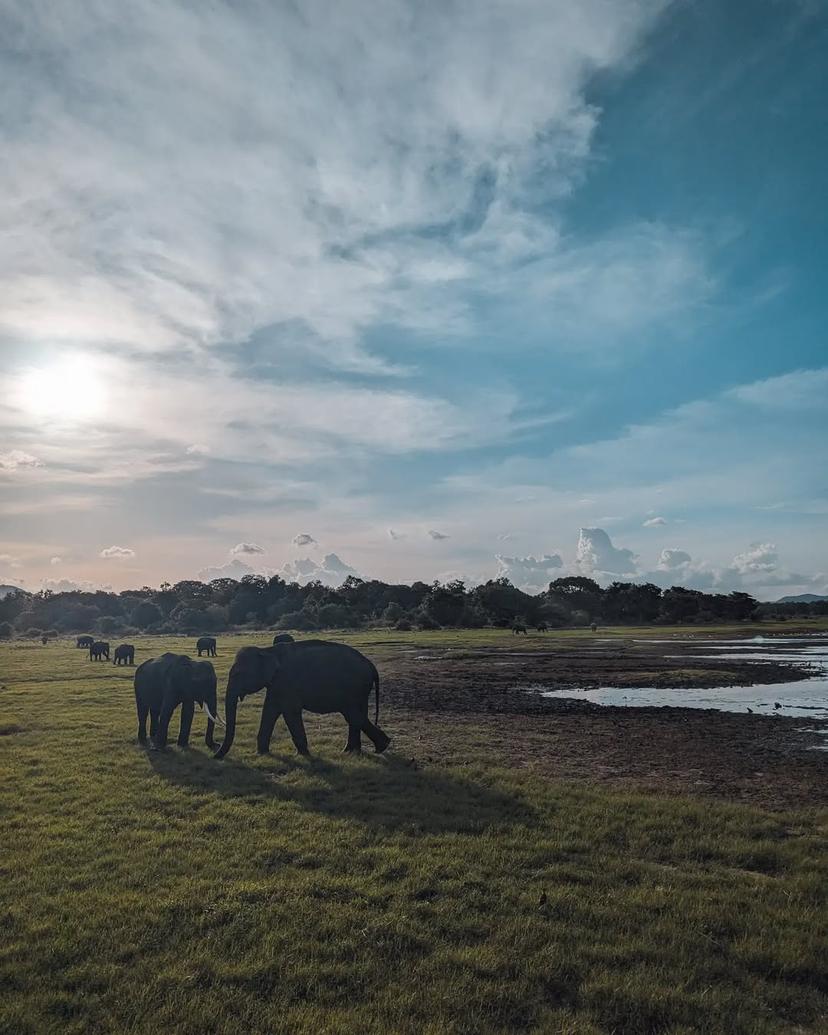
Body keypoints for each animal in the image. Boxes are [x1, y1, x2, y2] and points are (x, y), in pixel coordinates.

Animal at [214, 639, 390, 760]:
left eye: (237, 674)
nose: (215, 755)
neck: (267, 651)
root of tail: (370, 665)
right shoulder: (276, 684)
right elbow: (269, 710)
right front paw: (262, 754)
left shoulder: (286, 682)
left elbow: (289, 711)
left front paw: (303, 755)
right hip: (361, 689)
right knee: (356, 715)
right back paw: (352, 751)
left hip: (354, 687)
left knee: (352, 715)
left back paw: (380, 747)